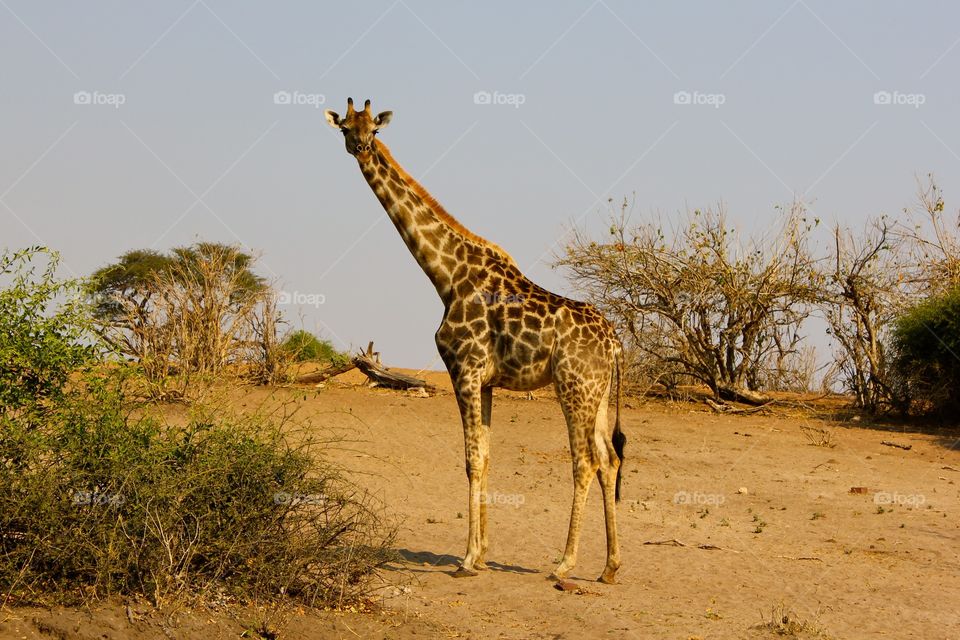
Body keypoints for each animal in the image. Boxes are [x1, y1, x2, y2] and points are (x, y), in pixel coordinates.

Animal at [324, 98, 626, 583]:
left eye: (373, 127)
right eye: (345, 127)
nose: (362, 146)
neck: (445, 277)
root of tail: (616, 342)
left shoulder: (463, 370)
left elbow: (470, 459)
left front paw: (466, 559)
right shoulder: (485, 382)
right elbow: (484, 457)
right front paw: (481, 554)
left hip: (574, 387)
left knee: (585, 461)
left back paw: (564, 563)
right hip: (597, 395)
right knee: (610, 460)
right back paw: (610, 567)